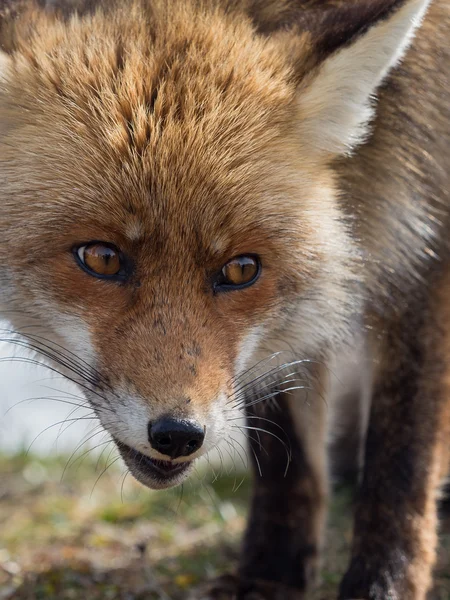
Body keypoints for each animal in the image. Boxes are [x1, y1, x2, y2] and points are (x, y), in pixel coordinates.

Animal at [0, 0, 450, 596]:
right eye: (101, 258)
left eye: (240, 269)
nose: (178, 436)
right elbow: (284, 444)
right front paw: (271, 573)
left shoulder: (428, 229)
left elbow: (402, 455)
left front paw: (382, 584)